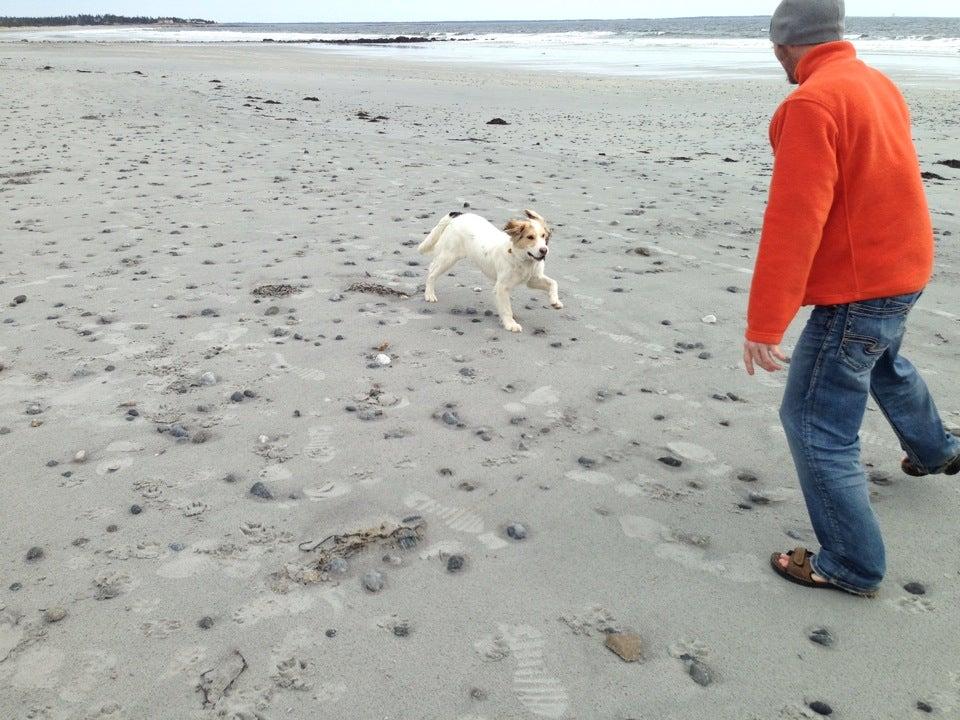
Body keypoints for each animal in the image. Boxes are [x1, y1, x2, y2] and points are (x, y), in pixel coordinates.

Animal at [418, 208, 564, 332]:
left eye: (543, 236)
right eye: (530, 237)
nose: (544, 250)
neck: (523, 259)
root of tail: (459, 214)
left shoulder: (533, 280)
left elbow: (553, 282)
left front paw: (555, 302)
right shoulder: (502, 286)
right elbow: (506, 308)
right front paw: (510, 324)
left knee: (432, 266)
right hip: (449, 256)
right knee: (432, 272)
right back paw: (429, 294)